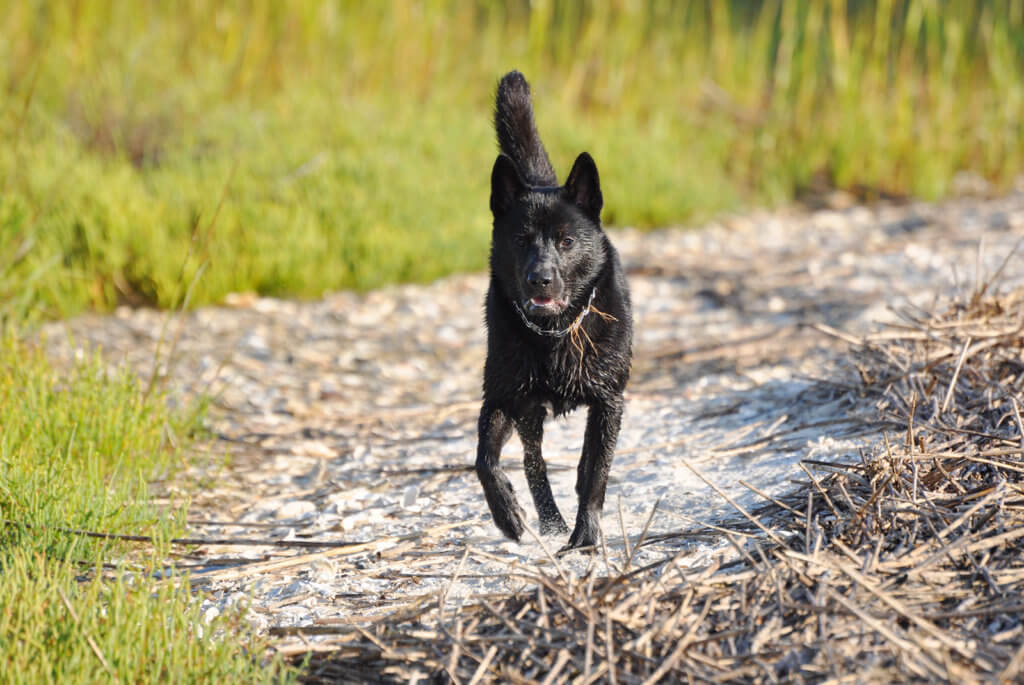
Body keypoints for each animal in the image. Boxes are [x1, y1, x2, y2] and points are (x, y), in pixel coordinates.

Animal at [477, 70, 630, 548]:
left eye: (565, 241)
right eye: (521, 239)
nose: (539, 279)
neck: (554, 333)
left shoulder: (608, 403)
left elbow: (594, 472)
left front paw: (585, 535)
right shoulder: (504, 396)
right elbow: (486, 459)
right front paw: (508, 515)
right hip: (529, 413)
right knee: (534, 463)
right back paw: (549, 521)